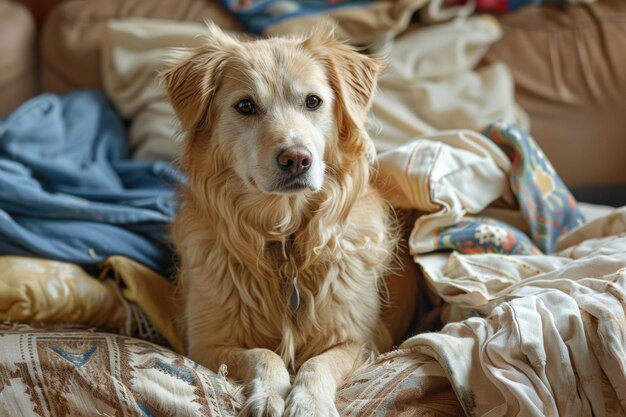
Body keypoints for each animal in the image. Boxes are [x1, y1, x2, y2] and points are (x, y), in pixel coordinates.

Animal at [161, 22, 414, 416]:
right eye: (245, 105)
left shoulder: (364, 339)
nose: (296, 158)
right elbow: (263, 354)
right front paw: (268, 396)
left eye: (313, 101)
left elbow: (318, 362)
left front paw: (309, 403)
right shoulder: (205, 342)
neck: (286, 241)